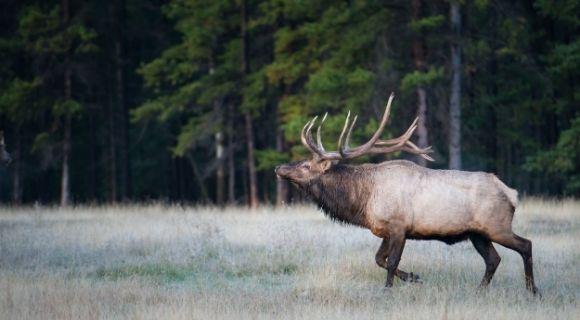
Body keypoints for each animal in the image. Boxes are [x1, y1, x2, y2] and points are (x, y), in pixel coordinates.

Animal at [276, 93, 540, 296]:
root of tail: (511, 193)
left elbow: (391, 262)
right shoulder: (385, 229)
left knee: (525, 245)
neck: (363, 201)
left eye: (306, 166)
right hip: (478, 233)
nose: (279, 168)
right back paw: (480, 290)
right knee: (493, 259)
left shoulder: (399, 227)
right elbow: (379, 259)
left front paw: (388, 289)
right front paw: (414, 277)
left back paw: (532, 290)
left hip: (497, 225)